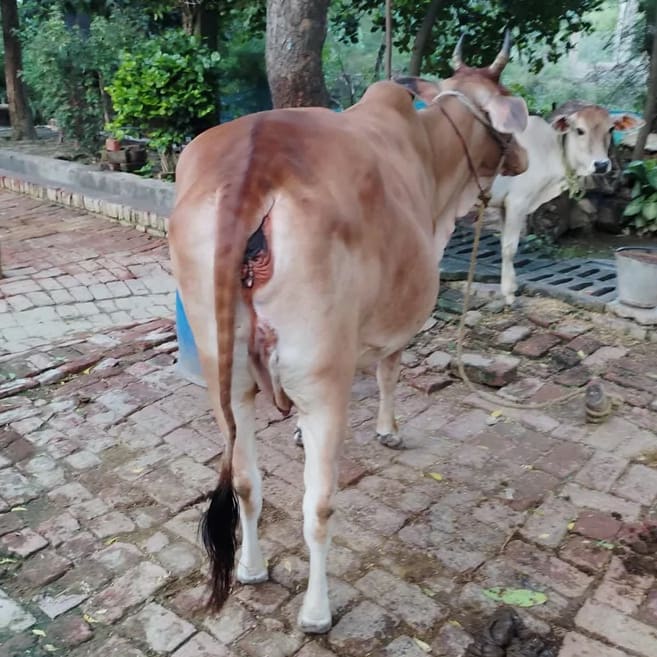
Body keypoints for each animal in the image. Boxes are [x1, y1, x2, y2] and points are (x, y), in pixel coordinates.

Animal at [168, 35, 529, 634]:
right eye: (505, 103)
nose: (522, 158)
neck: (433, 155)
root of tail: (253, 162)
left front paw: (296, 435)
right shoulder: (397, 319)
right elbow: (388, 371)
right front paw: (389, 430)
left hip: (227, 374)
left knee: (244, 482)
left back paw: (251, 568)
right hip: (321, 377)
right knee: (318, 508)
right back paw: (317, 611)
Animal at [488, 99, 642, 305]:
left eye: (611, 129)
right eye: (579, 130)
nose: (601, 164)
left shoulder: (504, 204)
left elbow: (504, 243)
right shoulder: (517, 201)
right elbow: (509, 248)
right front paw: (509, 294)